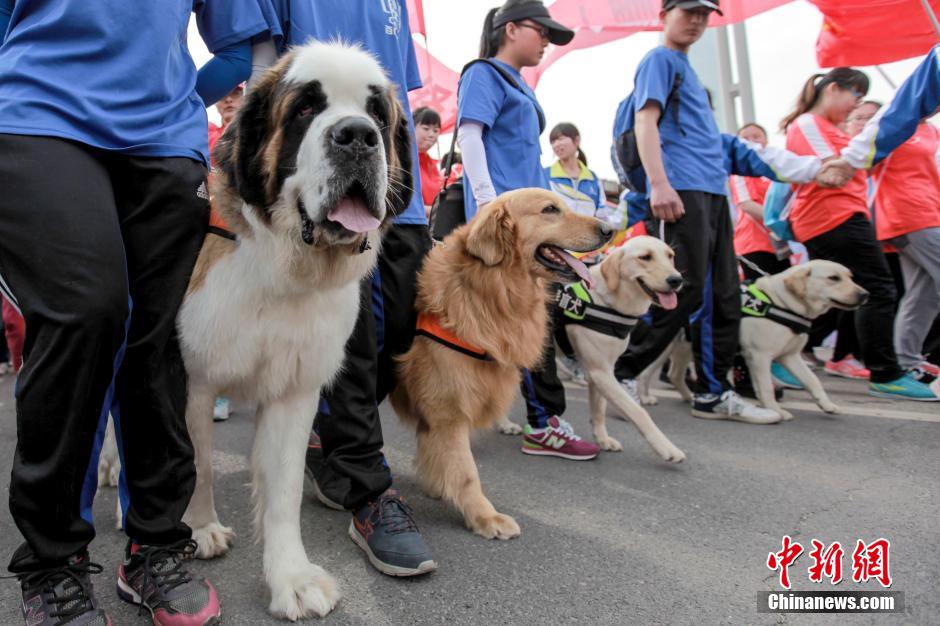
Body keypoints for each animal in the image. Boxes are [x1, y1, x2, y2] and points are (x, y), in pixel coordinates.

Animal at [177, 44, 412, 620]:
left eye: (377, 115)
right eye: (306, 108)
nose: (357, 136)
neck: (283, 269)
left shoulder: (294, 389)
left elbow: (283, 492)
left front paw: (291, 578)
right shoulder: (192, 379)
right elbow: (198, 463)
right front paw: (199, 527)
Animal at [388, 188, 612, 540]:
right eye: (551, 210)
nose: (609, 230)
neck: (492, 288)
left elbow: (440, 456)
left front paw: (439, 485)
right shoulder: (448, 406)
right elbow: (467, 470)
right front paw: (483, 516)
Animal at [560, 234, 688, 458]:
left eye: (670, 256)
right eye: (645, 257)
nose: (676, 280)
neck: (609, 302)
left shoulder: (603, 370)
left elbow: (599, 409)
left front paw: (602, 439)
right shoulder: (600, 372)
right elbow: (639, 412)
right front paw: (666, 447)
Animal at [740, 258, 868, 420]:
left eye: (850, 277)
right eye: (833, 278)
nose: (865, 294)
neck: (782, 303)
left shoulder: (790, 356)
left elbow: (812, 380)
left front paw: (826, 404)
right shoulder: (759, 355)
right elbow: (766, 387)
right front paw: (776, 411)